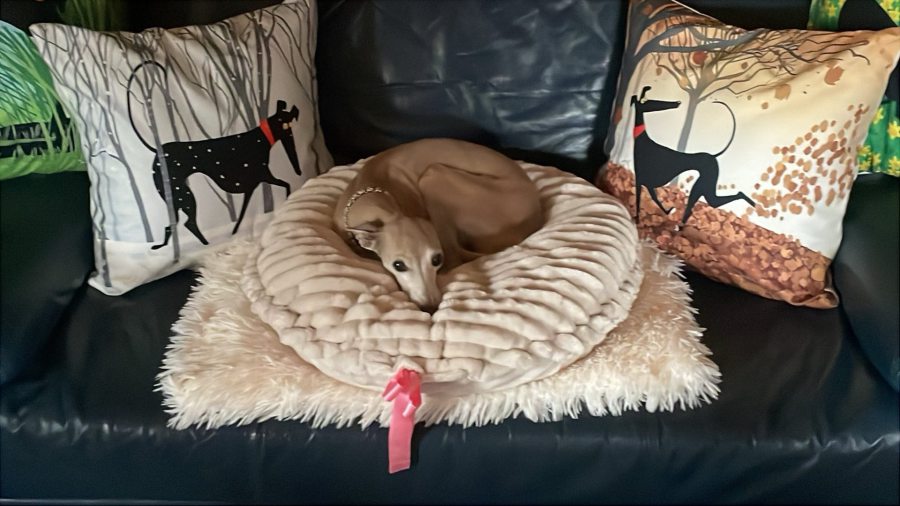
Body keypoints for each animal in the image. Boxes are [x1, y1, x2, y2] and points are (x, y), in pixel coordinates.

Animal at [127, 61, 302, 250]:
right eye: (285, 127)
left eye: (291, 126)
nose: (299, 171)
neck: (261, 138)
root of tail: (157, 149)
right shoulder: (263, 177)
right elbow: (283, 186)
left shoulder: (252, 185)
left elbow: (245, 212)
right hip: (182, 195)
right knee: (186, 223)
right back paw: (201, 243)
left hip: (177, 198)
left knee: (176, 224)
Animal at [631, 85, 755, 225]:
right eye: (651, 102)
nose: (677, 103)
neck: (642, 139)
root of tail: (713, 155)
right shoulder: (645, 181)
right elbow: (651, 198)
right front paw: (667, 211)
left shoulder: (641, 179)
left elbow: (643, 199)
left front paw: (640, 218)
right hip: (702, 185)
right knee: (696, 207)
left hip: (704, 183)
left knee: (715, 201)